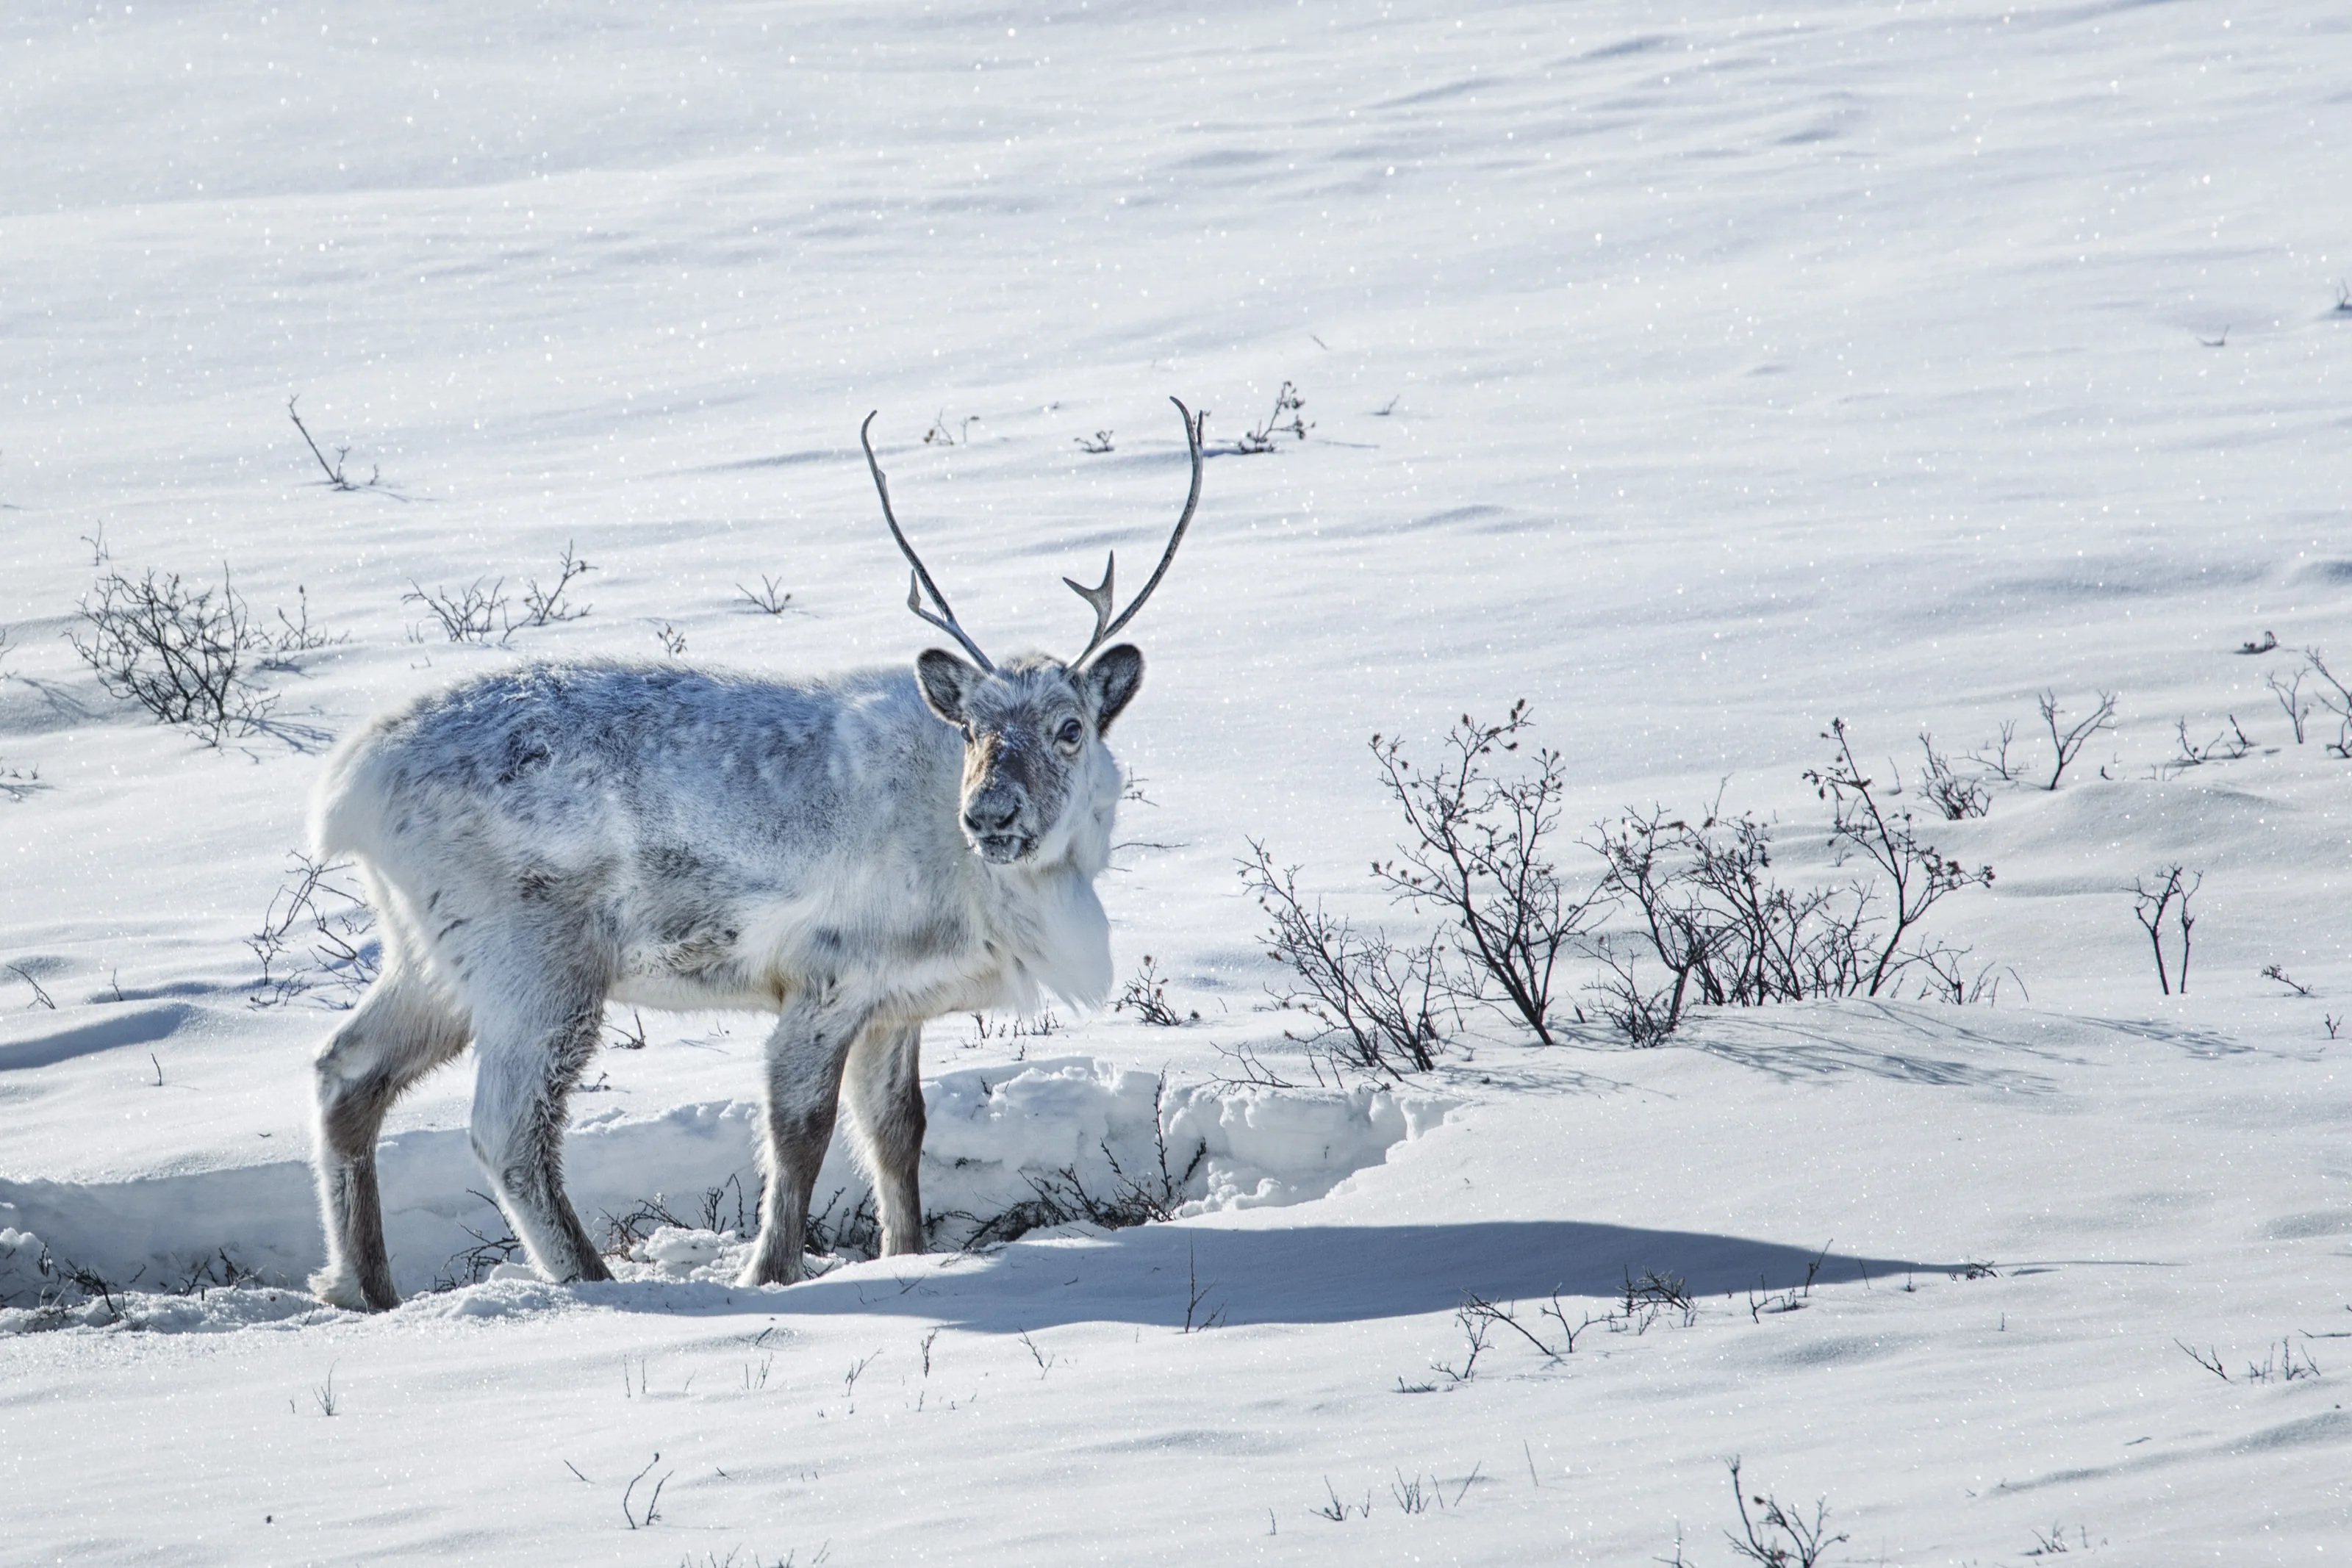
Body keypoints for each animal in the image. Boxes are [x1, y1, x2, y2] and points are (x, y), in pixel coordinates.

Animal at [303, 398, 1203, 1310]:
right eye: (971, 729)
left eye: (1070, 727)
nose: (989, 815)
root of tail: (352, 782)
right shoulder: (827, 982)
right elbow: (799, 1132)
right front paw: (769, 1270)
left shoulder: (899, 1003)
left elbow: (897, 1132)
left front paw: (908, 1252)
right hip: (538, 964)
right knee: (508, 1129)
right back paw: (593, 1280)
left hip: (430, 957)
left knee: (346, 1070)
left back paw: (361, 1283)